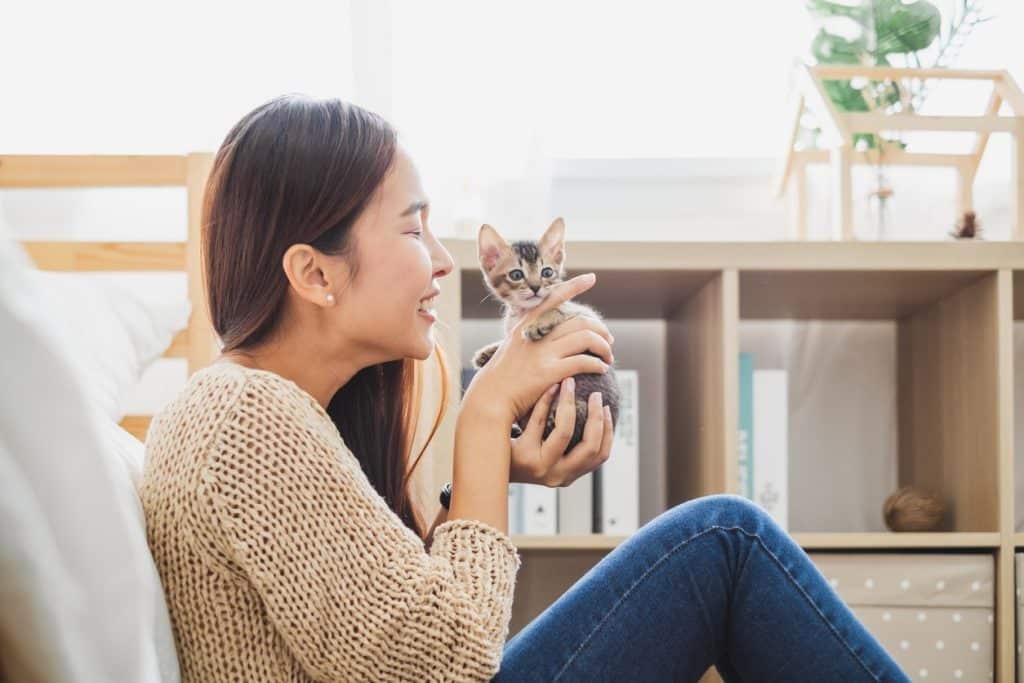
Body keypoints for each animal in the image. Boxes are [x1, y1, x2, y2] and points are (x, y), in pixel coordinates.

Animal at [468, 218, 618, 454]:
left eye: (547, 272)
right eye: (516, 275)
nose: (536, 287)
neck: (523, 313)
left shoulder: (588, 317)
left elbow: (556, 309)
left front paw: (537, 324)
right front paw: (488, 352)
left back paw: (550, 423)